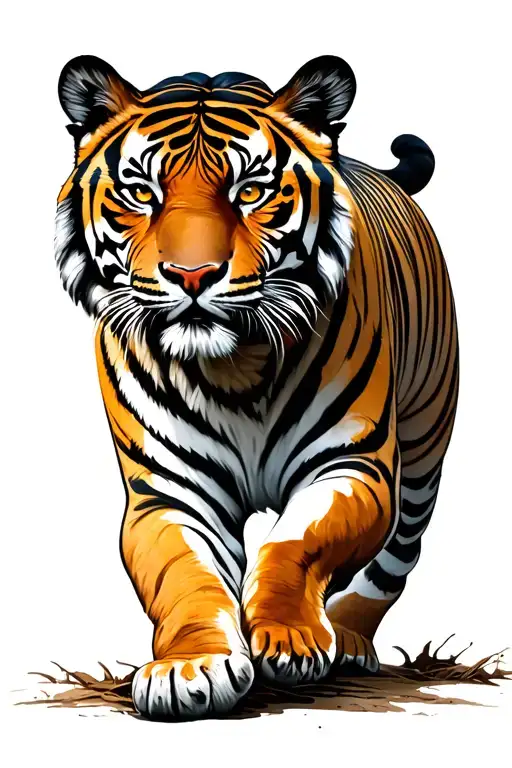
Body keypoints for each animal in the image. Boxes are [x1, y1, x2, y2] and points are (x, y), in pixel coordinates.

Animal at [55, 54, 459, 720]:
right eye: (142, 192)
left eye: (250, 191)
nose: (192, 274)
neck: (232, 365)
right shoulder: (169, 491)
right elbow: (185, 575)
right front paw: (190, 666)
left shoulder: (352, 463)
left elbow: (295, 542)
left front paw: (290, 636)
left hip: (424, 445)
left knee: (398, 556)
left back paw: (348, 637)